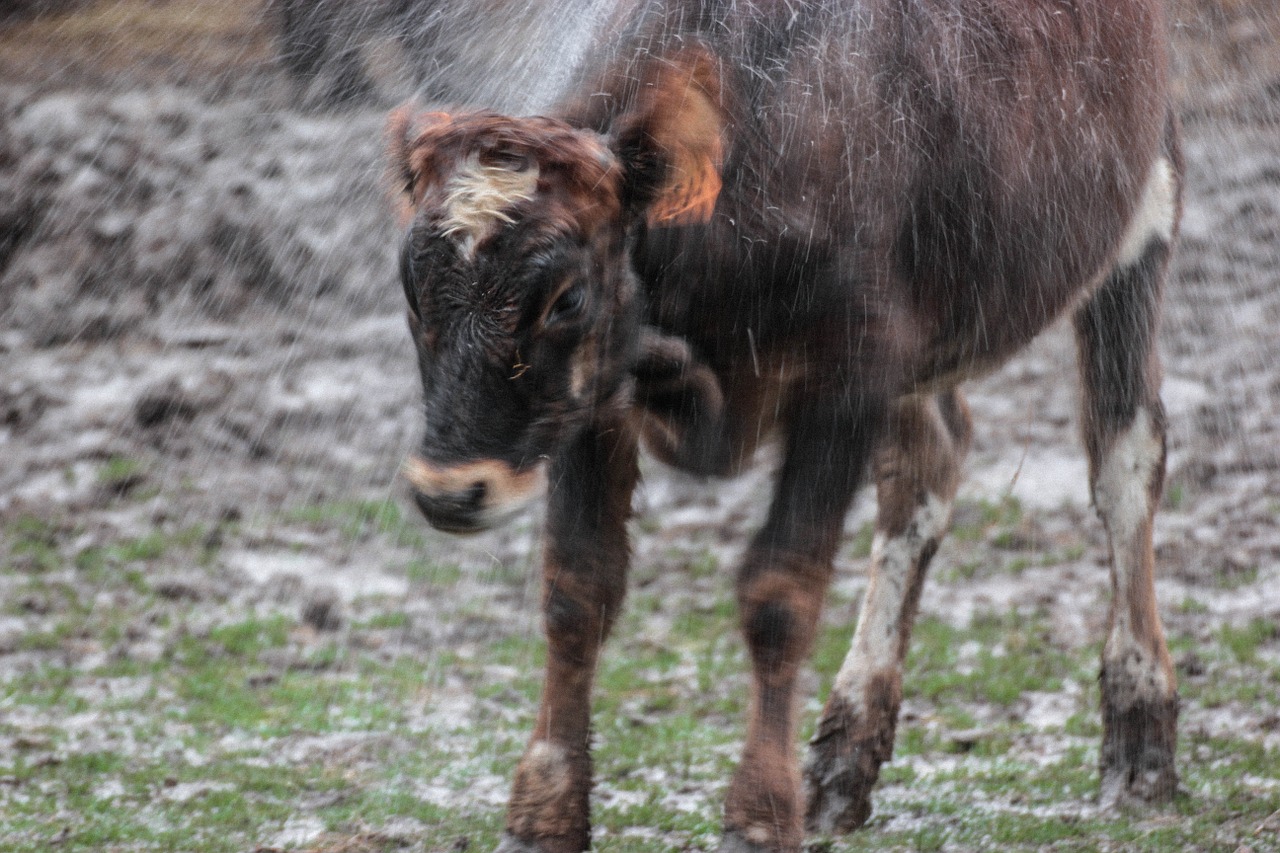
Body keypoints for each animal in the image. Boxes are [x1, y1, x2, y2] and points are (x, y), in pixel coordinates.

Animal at [386, 3, 1177, 845]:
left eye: (566, 297)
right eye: (412, 287)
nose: (450, 490)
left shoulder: (849, 382)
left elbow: (780, 593)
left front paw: (759, 814)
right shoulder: (596, 403)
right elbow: (576, 589)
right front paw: (544, 809)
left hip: (1142, 222)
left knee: (1124, 461)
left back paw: (1141, 739)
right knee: (928, 467)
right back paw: (843, 758)